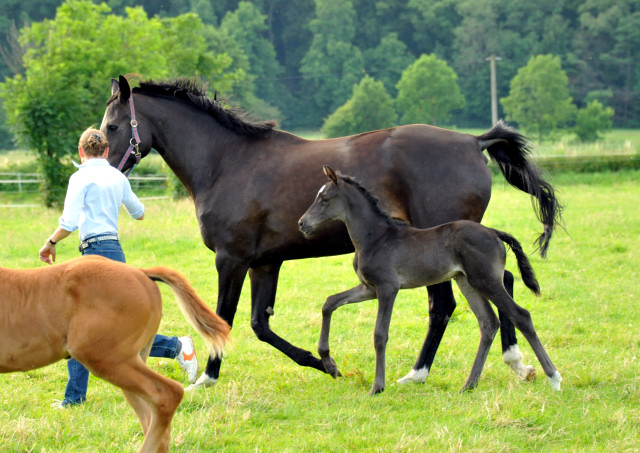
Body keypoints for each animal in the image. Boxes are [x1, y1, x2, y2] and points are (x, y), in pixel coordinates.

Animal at [300, 168, 560, 394]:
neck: (375, 238)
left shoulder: (387, 288)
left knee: (521, 316)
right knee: (488, 323)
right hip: (466, 282)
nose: (302, 223)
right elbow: (330, 302)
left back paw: (554, 378)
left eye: (325, 198)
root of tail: (493, 232)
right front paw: (329, 363)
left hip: (486, 281)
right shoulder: (368, 288)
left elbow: (380, 335)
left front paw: (377, 387)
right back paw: (469, 385)